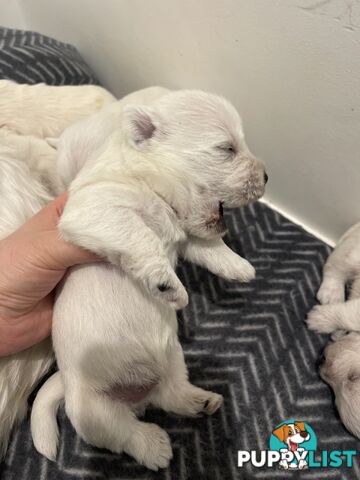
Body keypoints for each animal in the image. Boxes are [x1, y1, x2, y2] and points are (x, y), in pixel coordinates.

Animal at [30, 87, 268, 468]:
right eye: (226, 148)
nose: (267, 177)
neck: (152, 183)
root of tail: (137, 396)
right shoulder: (95, 210)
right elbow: (138, 236)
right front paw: (168, 285)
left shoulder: (185, 238)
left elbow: (208, 247)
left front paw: (241, 267)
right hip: (90, 408)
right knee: (122, 432)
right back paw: (156, 448)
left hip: (174, 360)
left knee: (170, 394)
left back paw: (202, 401)